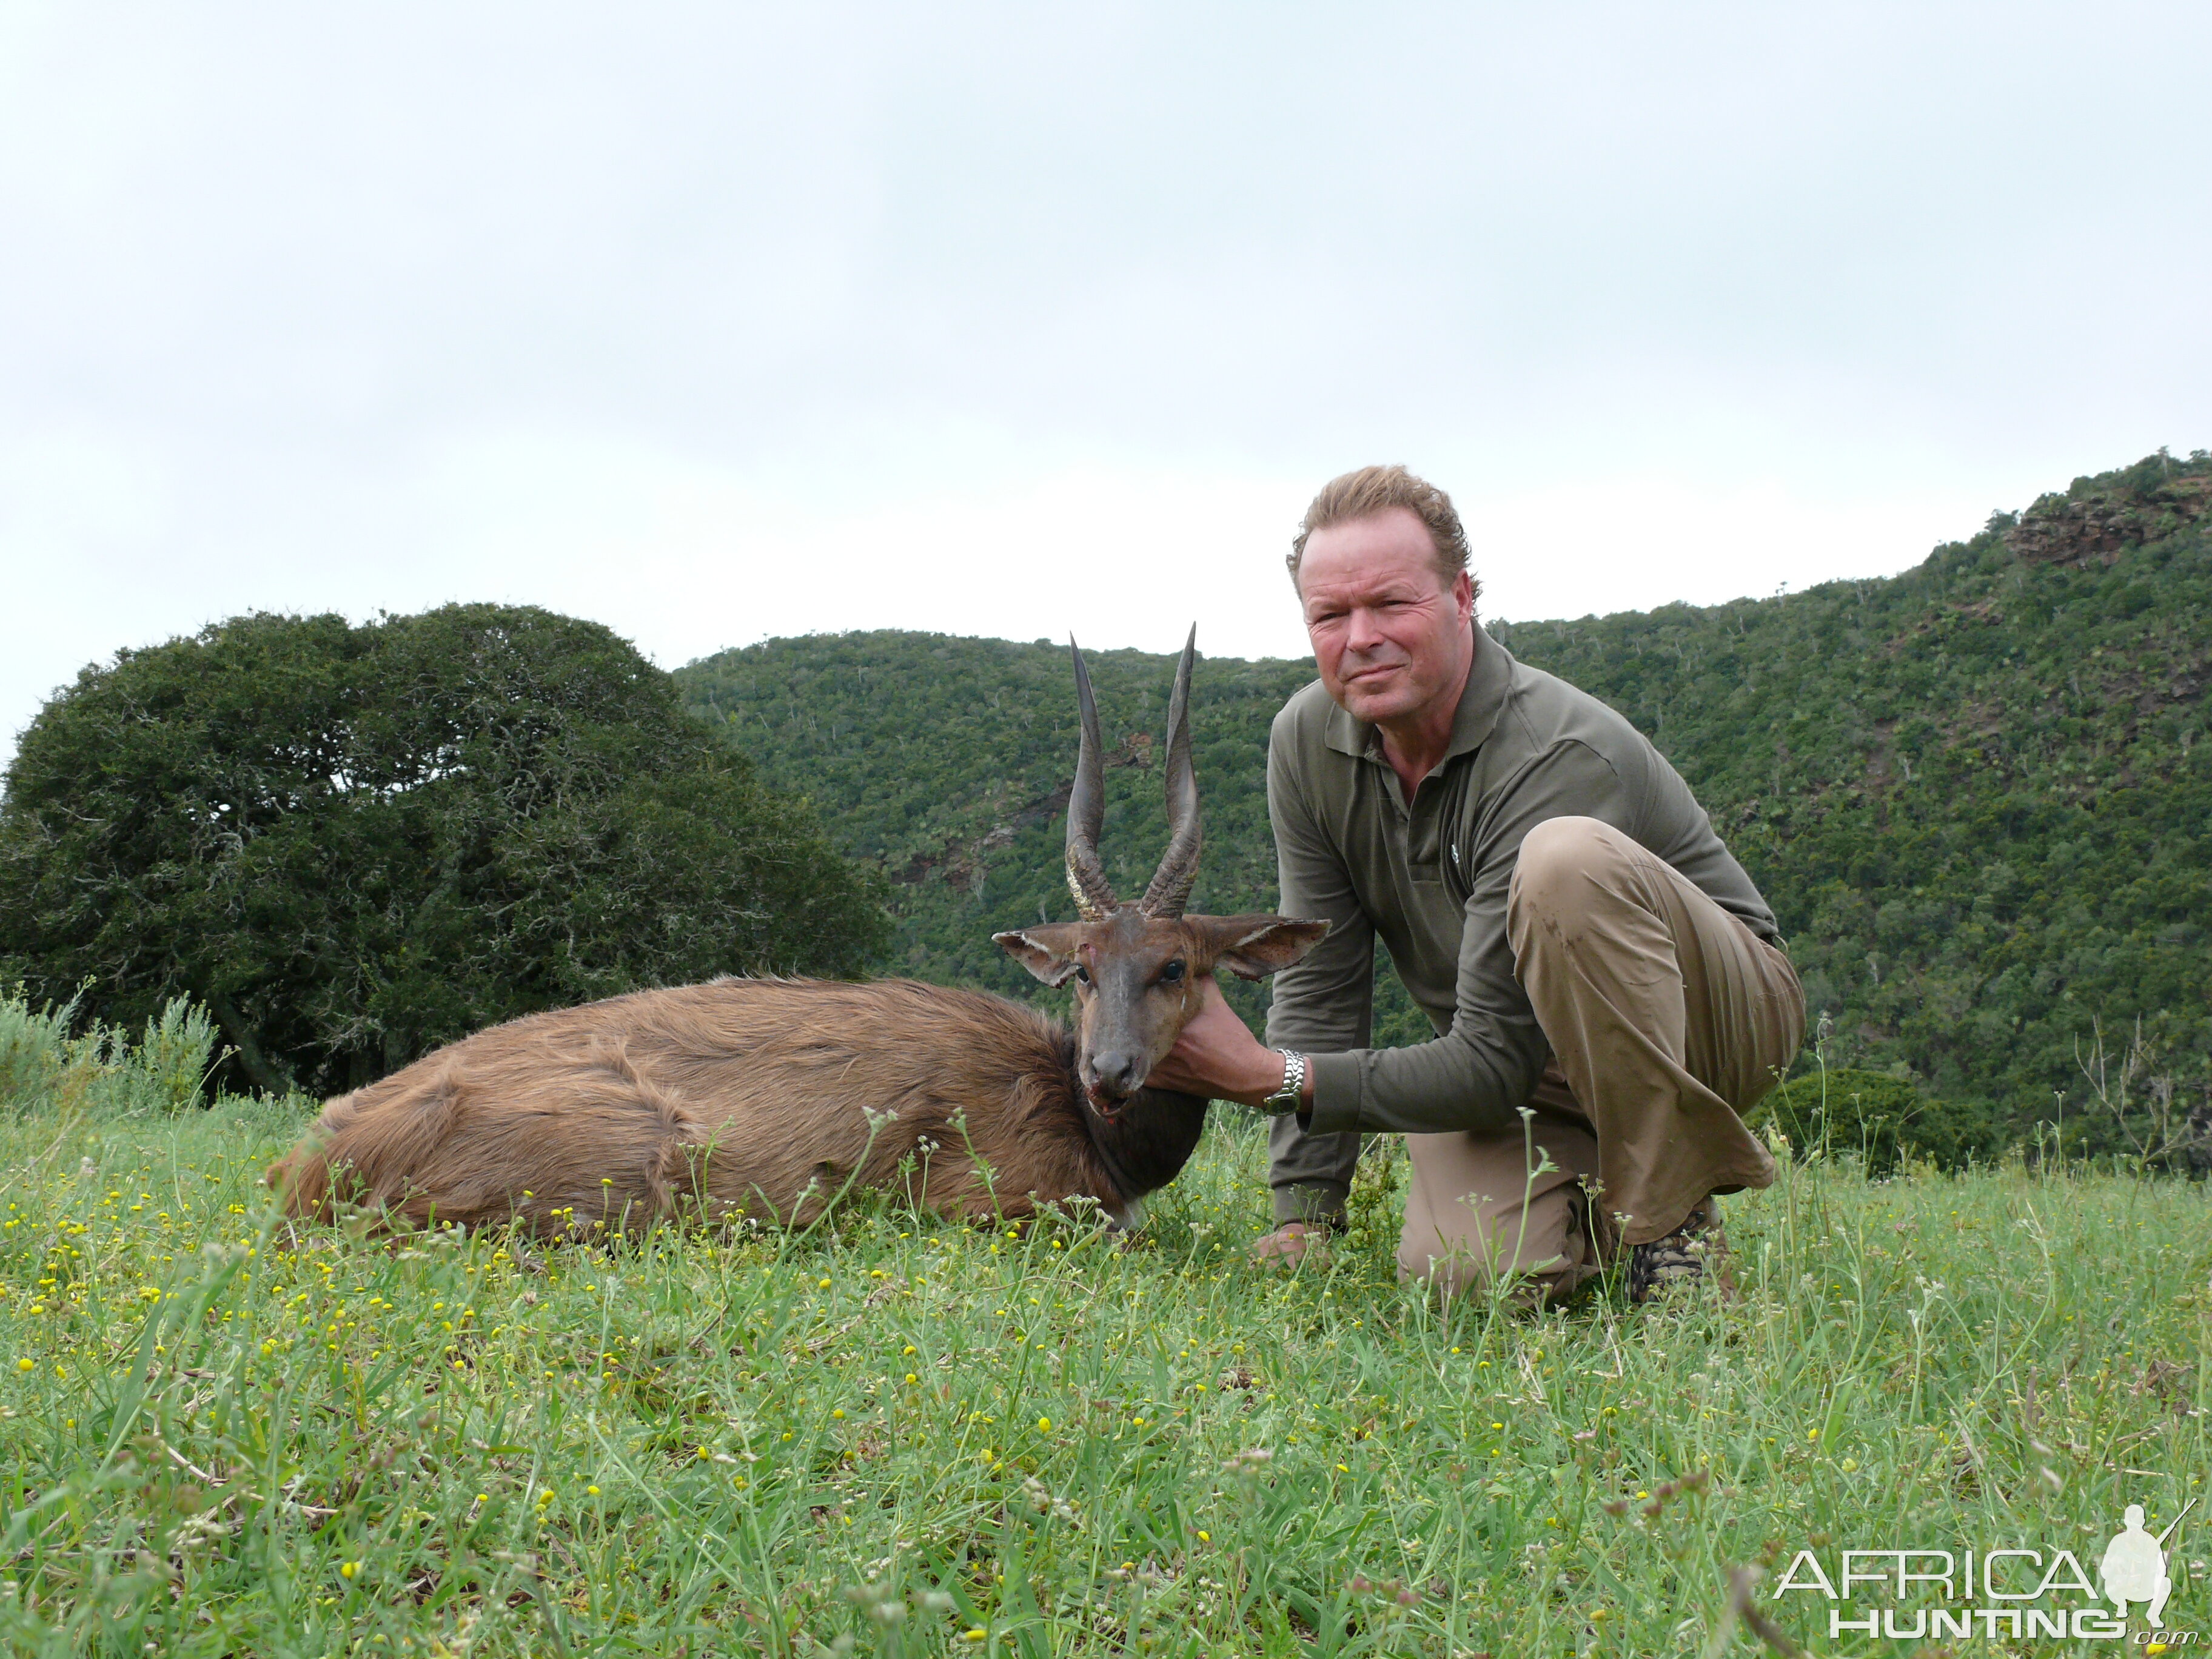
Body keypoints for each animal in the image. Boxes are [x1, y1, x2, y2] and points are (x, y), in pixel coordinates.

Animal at [267, 637, 1318, 1238]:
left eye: (1176, 965)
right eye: (1084, 971)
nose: (1110, 1073)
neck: (1098, 1139)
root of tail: (313, 1163)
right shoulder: (1007, 1204)